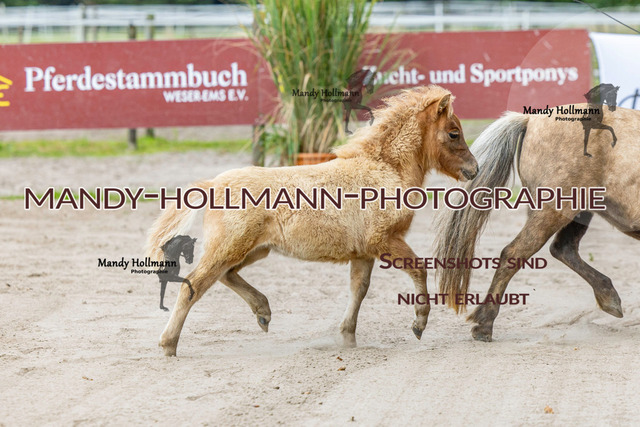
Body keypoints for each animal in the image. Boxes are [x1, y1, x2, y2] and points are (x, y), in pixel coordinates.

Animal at [146, 85, 478, 356]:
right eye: (453, 133)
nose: (473, 169)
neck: (383, 169)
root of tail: (214, 183)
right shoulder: (383, 241)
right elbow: (419, 269)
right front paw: (419, 324)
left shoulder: (363, 251)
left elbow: (359, 289)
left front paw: (347, 337)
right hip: (229, 246)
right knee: (194, 285)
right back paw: (168, 344)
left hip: (254, 249)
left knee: (225, 275)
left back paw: (263, 312)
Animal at [435, 104, 640, 342]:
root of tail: (530, 119)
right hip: (554, 210)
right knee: (514, 253)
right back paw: (484, 324)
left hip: (577, 209)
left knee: (563, 248)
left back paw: (609, 298)